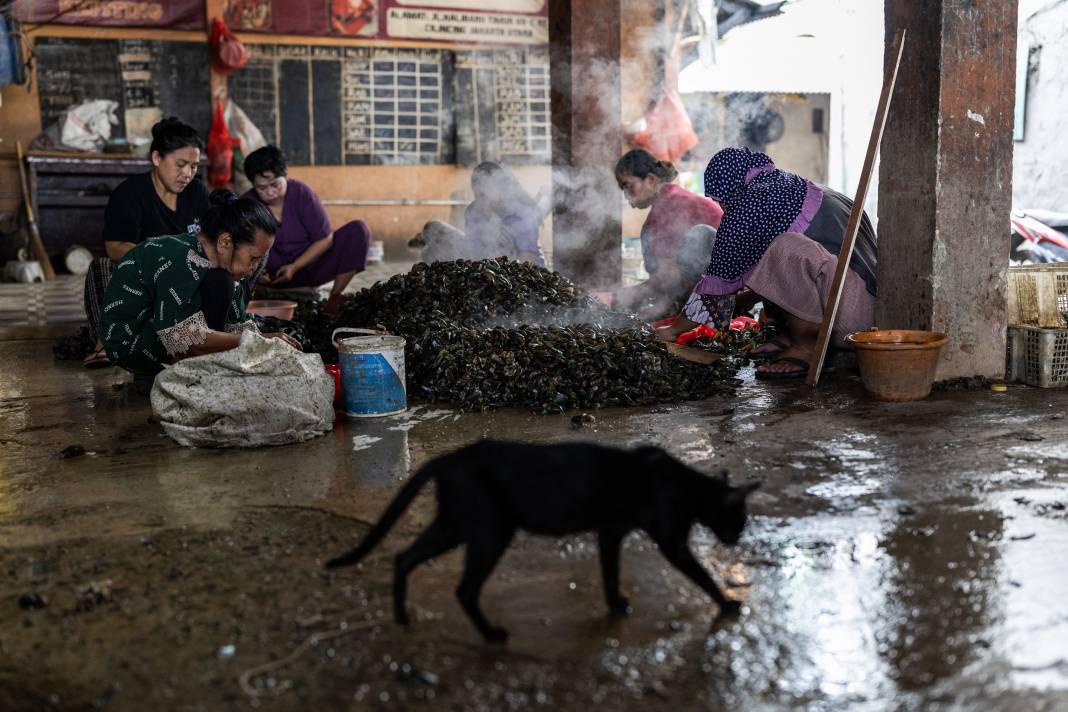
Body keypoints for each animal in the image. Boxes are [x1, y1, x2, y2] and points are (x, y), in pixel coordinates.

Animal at [324, 437, 760, 644]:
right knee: (464, 588)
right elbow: (701, 576)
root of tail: (447, 459)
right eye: (739, 517)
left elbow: (609, 573)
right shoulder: (671, 542)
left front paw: (616, 606)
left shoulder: (609, 533)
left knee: (404, 557)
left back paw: (402, 617)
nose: (738, 536)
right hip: (490, 531)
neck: (686, 485)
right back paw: (491, 636)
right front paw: (728, 603)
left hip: (456, 524)